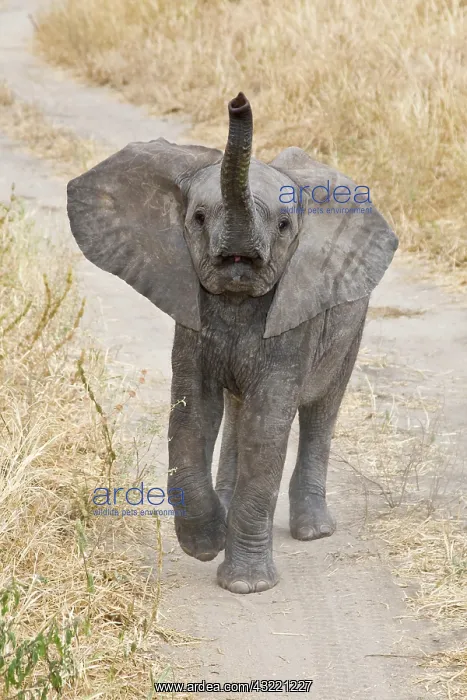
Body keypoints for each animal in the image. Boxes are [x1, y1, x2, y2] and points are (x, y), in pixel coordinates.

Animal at [67, 92, 397, 594]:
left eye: (284, 225)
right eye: (199, 218)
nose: (239, 101)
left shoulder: (294, 321)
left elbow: (267, 426)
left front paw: (245, 586)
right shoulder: (192, 314)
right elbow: (191, 415)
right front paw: (206, 544)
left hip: (351, 320)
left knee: (321, 408)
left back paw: (313, 530)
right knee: (239, 411)